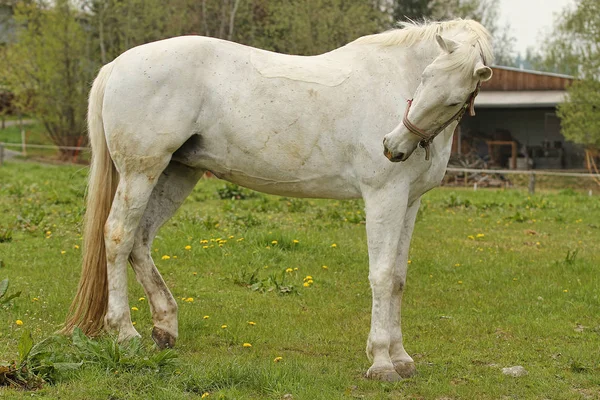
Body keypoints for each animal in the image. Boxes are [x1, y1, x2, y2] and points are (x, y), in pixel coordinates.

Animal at [64, 18, 492, 382]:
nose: (392, 146)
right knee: (118, 236)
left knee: (140, 240)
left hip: (176, 173)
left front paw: (402, 359)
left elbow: (399, 278)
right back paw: (125, 334)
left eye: (454, 99)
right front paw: (382, 362)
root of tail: (117, 64)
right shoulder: (383, 196)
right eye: (425, 77)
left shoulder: (409, 200)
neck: (396, 77)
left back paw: (165, 328)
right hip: (141, 172)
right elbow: (382, 276)